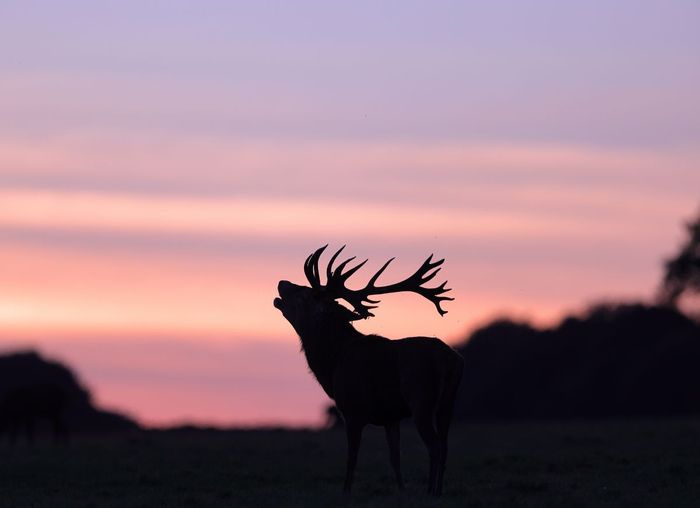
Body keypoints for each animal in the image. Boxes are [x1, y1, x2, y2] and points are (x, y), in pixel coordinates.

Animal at [273, 245, 464, 496]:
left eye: (304, 295)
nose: (282, 282)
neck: (333, 363)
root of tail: (453, 361)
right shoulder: (390, 416)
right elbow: (395, 458)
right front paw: (402, 491)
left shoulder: (352, 411)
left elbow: (351, 459)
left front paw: (345, 493)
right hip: (447, 403)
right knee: (445, 444)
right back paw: (439, 491)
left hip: (421, 397)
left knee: (434, 445)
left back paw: (430, 492)